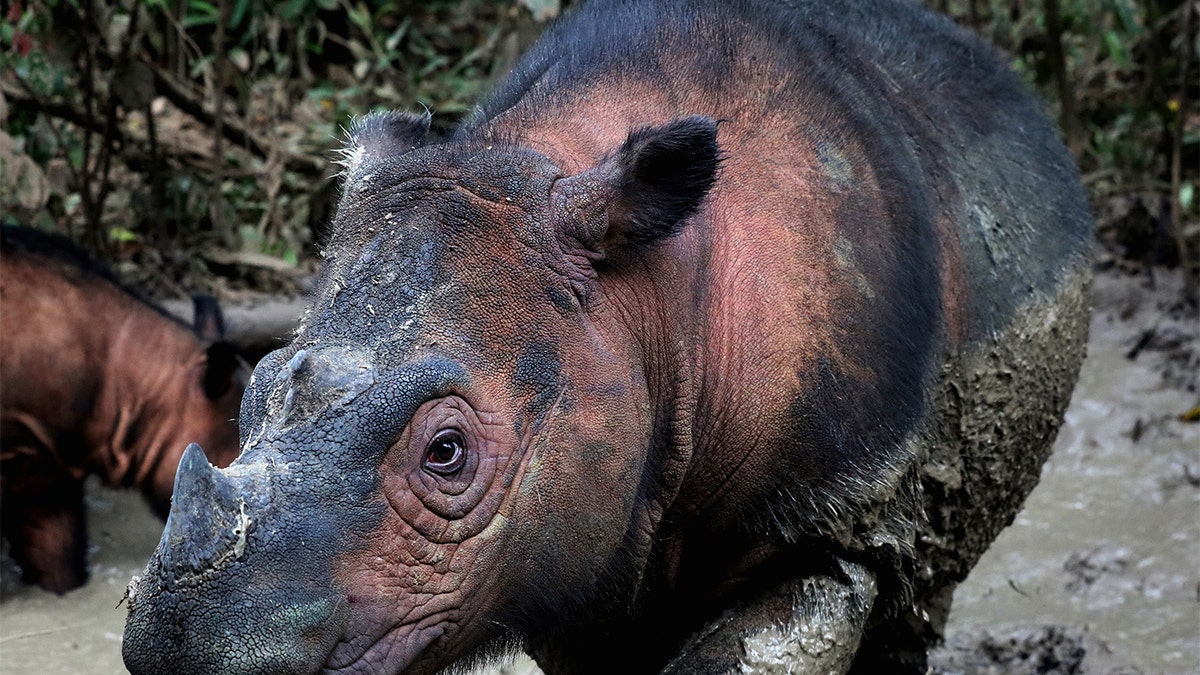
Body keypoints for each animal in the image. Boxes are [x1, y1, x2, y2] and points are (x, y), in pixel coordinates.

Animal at [121, 0, 1099, 667]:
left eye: (446, 453)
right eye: (252, 396)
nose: (185, 643)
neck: (646, 301)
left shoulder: (833, 511)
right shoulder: (564, 553)